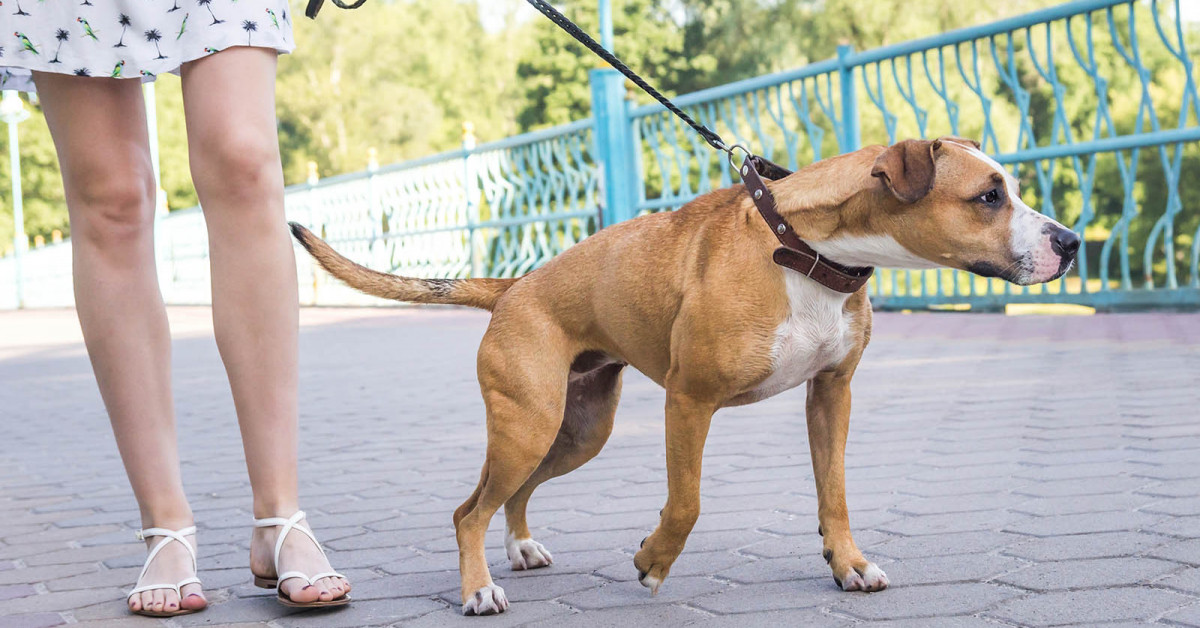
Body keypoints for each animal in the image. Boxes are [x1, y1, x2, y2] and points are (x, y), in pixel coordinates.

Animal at [288, 136, 1080, 614]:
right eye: (988, 196)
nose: (1070, 242)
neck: (805, 250)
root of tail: (514, 287)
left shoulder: (832, 396)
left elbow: (835, 495)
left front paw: (848, 564)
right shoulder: (689, 402)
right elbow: (688, 503)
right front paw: (652, 561)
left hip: (575, 431)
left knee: (511, 495)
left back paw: (518, 548)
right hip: (528, 423)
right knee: (467, 510)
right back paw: (479, 588)